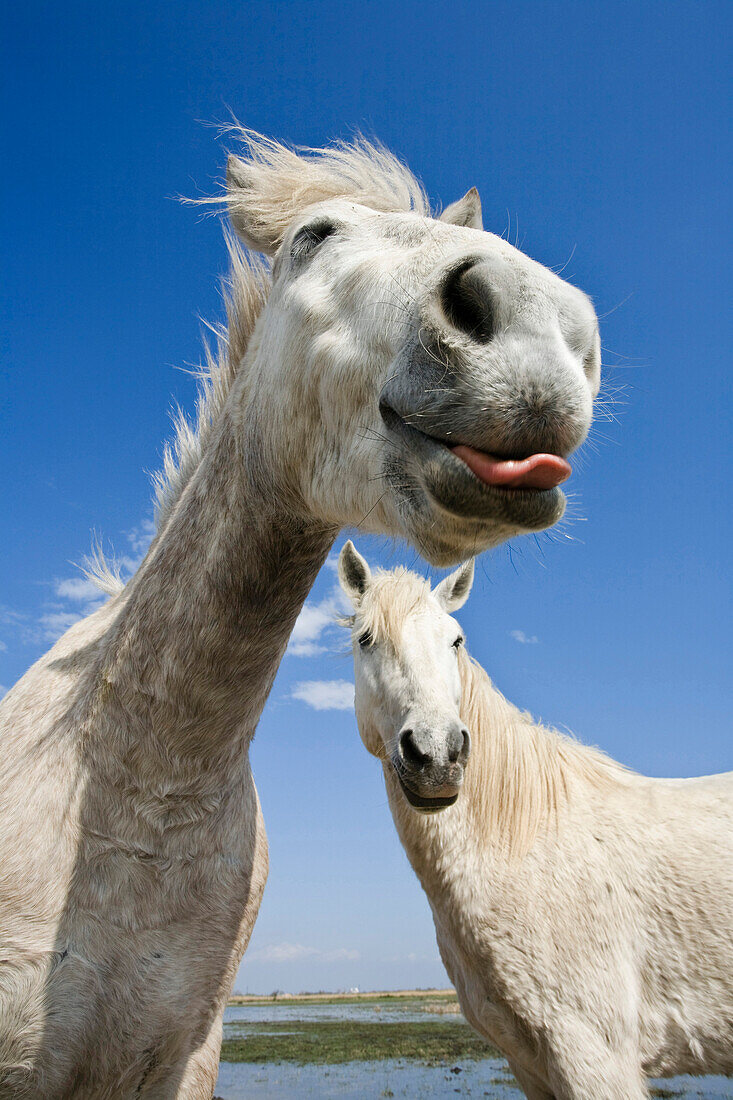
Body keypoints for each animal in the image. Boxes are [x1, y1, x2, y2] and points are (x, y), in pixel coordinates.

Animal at [338, 543, 730, 1100]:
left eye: (455, 640)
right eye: (366, 639)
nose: (437, 755)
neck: (524, 848)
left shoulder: (595, 1056)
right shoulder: (531, 1066)